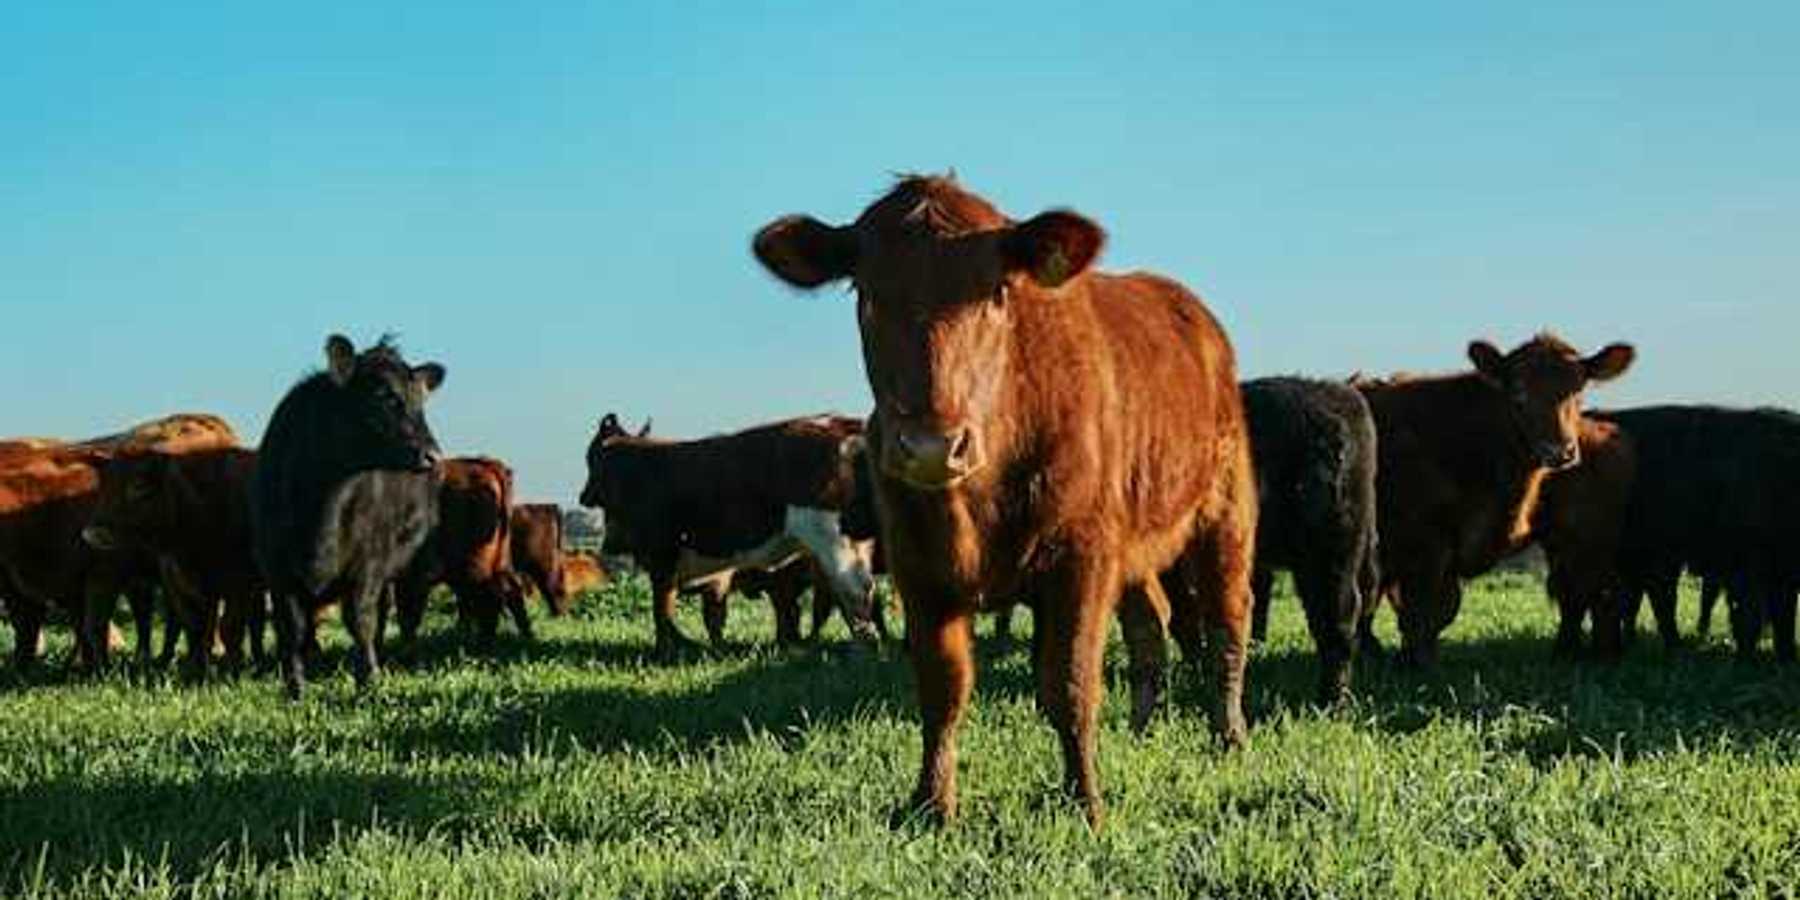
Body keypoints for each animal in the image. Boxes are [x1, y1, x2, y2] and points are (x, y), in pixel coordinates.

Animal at [251, 335, 446, 699]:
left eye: (420, 402)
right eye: (383, 395)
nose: (432, 455)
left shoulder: (368, 562)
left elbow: (360, 621)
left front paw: (369, 681)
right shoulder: (277, 570)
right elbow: (292, 628)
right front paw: (296, 689)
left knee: (395, 613)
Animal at [579, 413, 879, 655]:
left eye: (590, 458)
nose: (583, 496)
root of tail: (838, 423)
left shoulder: (661, 555)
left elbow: (662, 609)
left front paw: (665, 651)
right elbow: (706, 613)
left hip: (832, 540)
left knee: (853, 590)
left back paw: (862, 649)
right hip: (852, 543)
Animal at [754, 174, 1257, 829]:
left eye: (996, 291)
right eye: (866, 293)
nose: (931, 446)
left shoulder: (1081, 556)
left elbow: (1069, 682)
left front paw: (1086, 802)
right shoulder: (918, 567)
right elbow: (943, 688)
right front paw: (932, 803)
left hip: (1225, 509)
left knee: (1227, 620)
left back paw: (1230, 735)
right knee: (1151, 621)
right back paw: (1143, 728)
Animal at [1354, 334, 1634, 667]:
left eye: (1578, 389)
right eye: (1518, 393)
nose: (1560, 451)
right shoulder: (1423, 543)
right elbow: (1421, 613)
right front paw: (1415, 664)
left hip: (1585, 541)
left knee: (1591, 597)